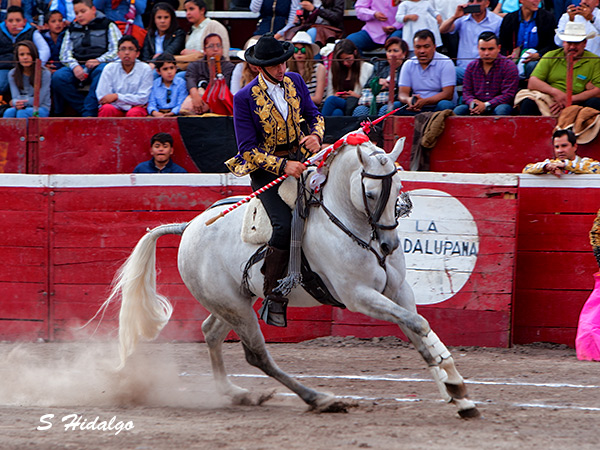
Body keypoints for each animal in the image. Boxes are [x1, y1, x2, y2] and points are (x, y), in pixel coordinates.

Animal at [101, 133, 480, 418]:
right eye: (371, 193)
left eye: (400, 185)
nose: (388, 245)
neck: (349, 223)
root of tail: (190, 225)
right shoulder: (358, 296)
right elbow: (418, 324)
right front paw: (454, 385)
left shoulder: (398, 290)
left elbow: (416, 328)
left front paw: (457, 394)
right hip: (235, 308)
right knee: (256, 355)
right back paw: (320, 399)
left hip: (235, 302)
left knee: (210, 332)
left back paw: (235, 393)